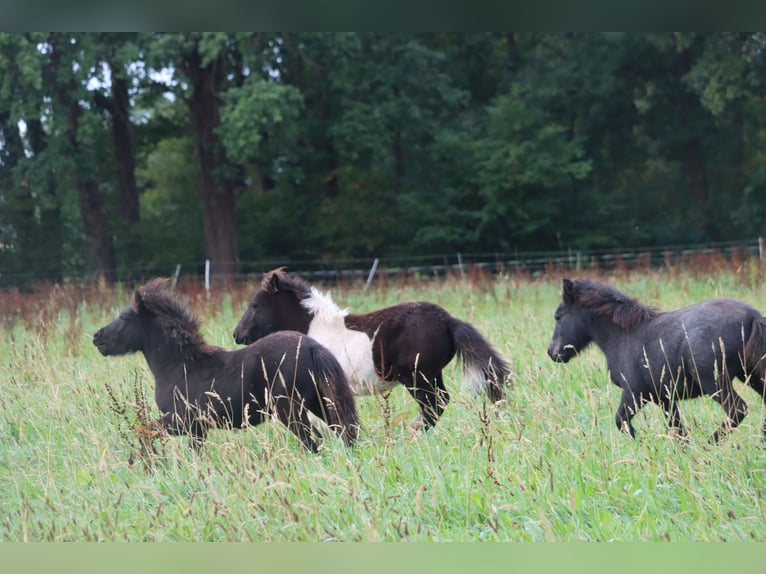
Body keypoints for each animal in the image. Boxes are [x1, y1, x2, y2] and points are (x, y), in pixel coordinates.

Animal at [92, 280, 360, 454]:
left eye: (124, 318)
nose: (97, 337)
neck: (179, 367)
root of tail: (313, 347)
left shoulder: (182, 421)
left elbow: (143, 430)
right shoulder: (197, 429)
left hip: (290, 409)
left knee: (313, 441)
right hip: (319, 402)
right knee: (343, 432)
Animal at [231, 268, 512, 430]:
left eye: (254, 305)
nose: (236, 334)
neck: (315, 329)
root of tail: (449, 321)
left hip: (418, 377)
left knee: (434, 405)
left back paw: (413, 431)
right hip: (430, 375)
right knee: (439, 402)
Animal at [548, 282, 766, 444]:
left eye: (558, 316)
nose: (552, 352)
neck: (623, 335)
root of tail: (753, 316)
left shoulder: (635, 392)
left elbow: (621, 421)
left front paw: (642, 445)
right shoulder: (664, 398)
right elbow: (678, 430)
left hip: (714, 380)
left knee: (737, 409)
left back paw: (709, 444)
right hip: (753, 375)